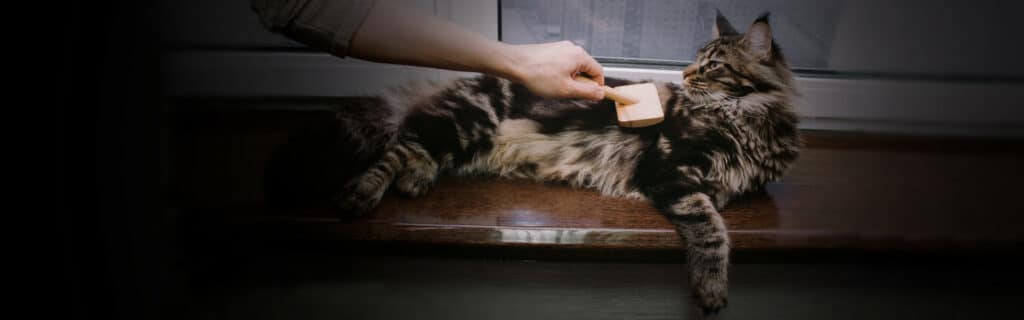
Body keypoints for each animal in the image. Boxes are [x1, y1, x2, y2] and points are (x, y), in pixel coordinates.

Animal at [266, 13, 798, 315]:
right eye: (696, 59)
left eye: (713, 65)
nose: (685, 74)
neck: (747, 121)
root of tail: (457, 83)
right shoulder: (671, 172)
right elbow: (711, 229)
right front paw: (711, 287)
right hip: (469, 119)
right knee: (397, 146)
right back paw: (363, 192)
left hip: (463, 136)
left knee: (414, 148)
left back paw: (416, 178)